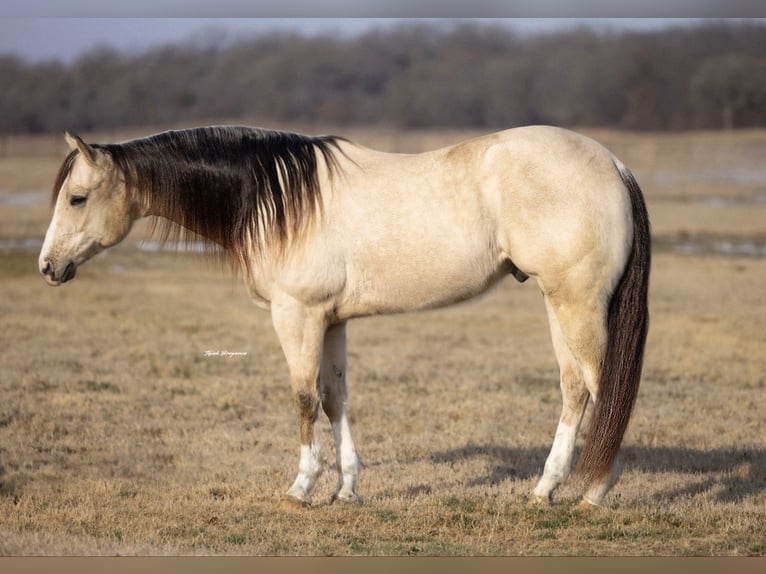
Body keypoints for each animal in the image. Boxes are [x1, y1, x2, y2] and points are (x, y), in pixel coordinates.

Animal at [39, 125, 650, 508]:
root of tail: (616, 165)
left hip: (576, 304)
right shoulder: (331, 321)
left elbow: (303, 399)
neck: (277, 199)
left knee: (601, 390)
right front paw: (347, 489)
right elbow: (335, 399)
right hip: (558, 303)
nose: (48, 266)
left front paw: (301, 487)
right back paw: (546, 489)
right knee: (575, 388)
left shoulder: (298, 316)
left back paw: (593, 491)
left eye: (76, 198)